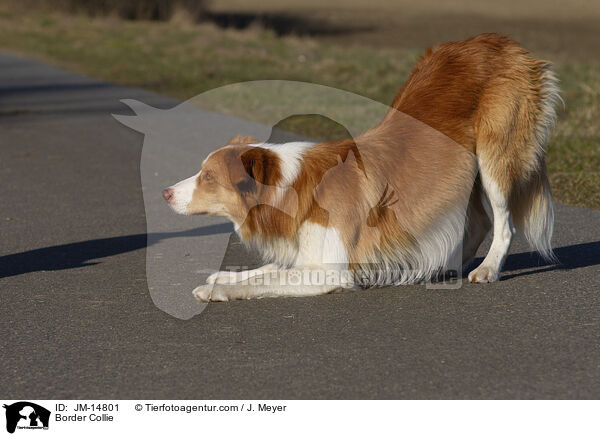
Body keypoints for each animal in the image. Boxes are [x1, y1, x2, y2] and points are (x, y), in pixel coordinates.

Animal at [162, 34, 560, 302]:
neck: (292, 187)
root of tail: (500, 40)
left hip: (494, 155)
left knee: (503, 222)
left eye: (208, 176)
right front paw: (222, 278)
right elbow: (264, 271)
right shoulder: (307, 254)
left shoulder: (329, 271)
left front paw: (215, 291)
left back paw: (487, 269)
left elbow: (263, 281)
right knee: (477, 222)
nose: (164, 192)